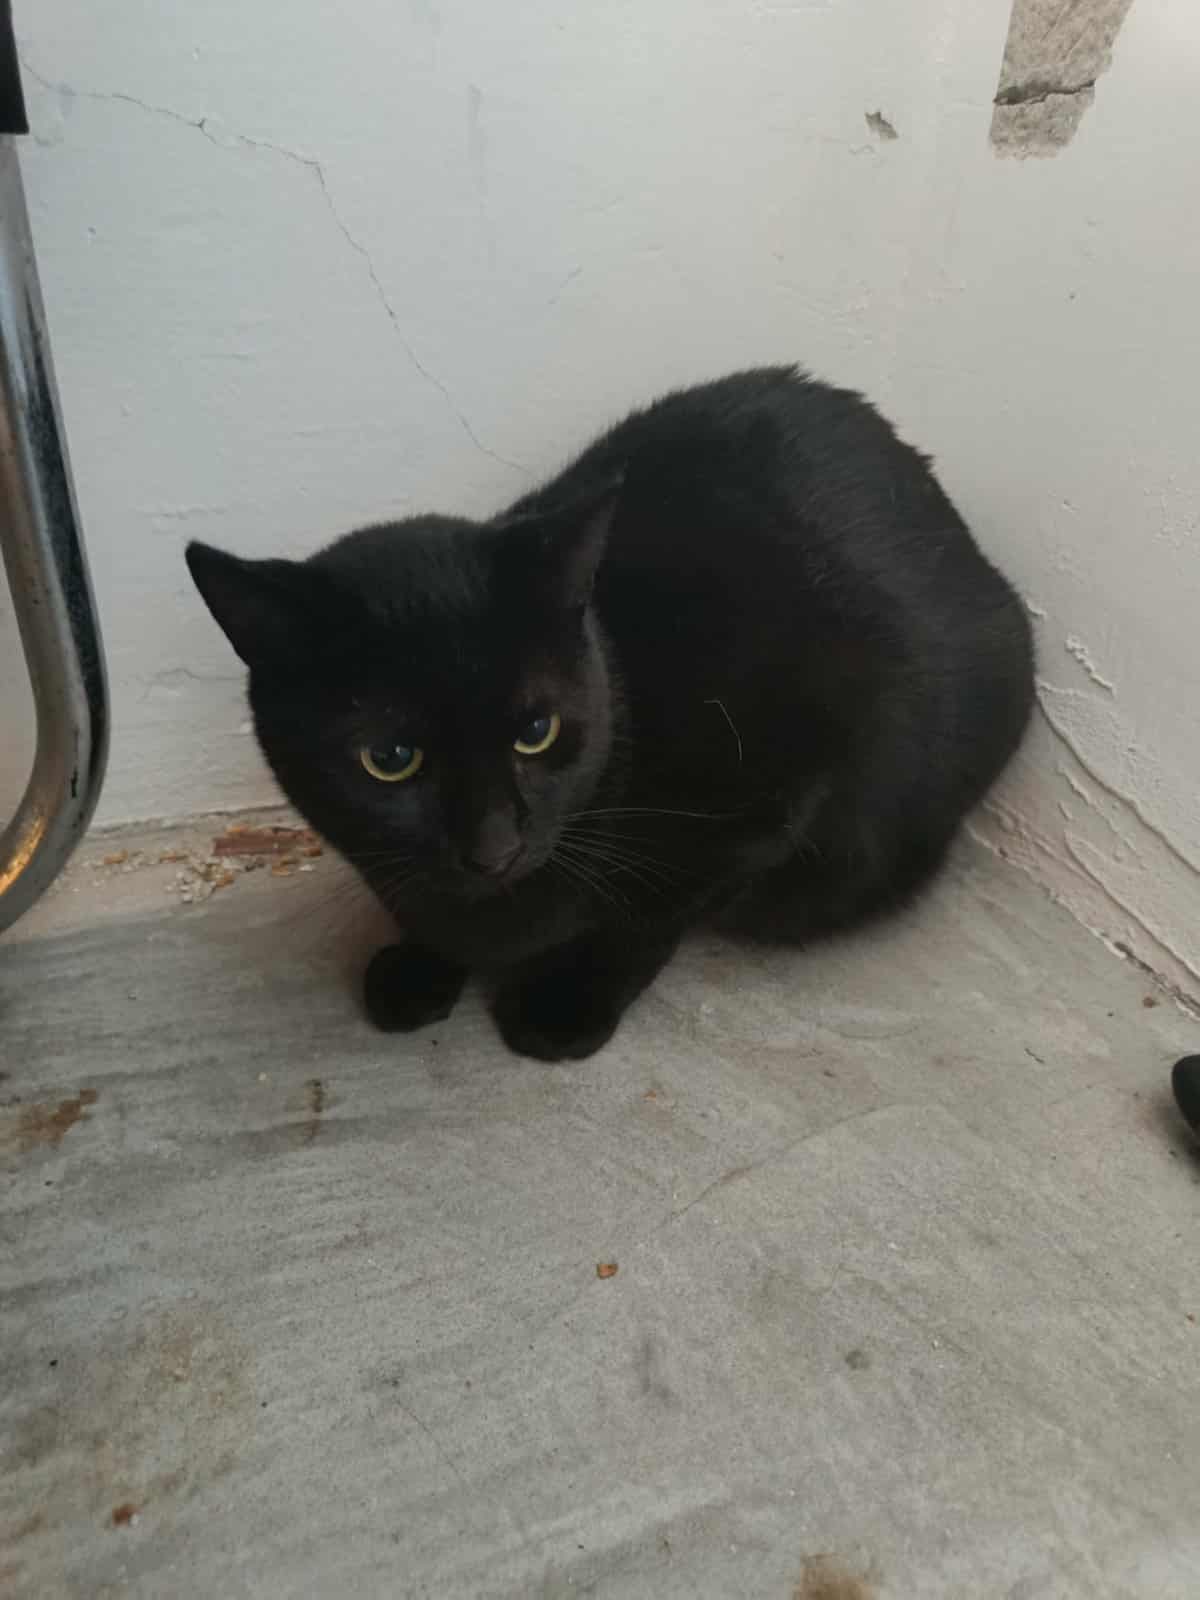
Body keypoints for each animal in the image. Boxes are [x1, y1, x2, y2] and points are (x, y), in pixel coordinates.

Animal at [186, 367, 1034, 1060]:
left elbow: (646, 915)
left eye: (537, 733)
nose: (494, 846)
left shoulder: (770, 792)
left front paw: (566, 1005)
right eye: (389, 760)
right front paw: (424, 963)